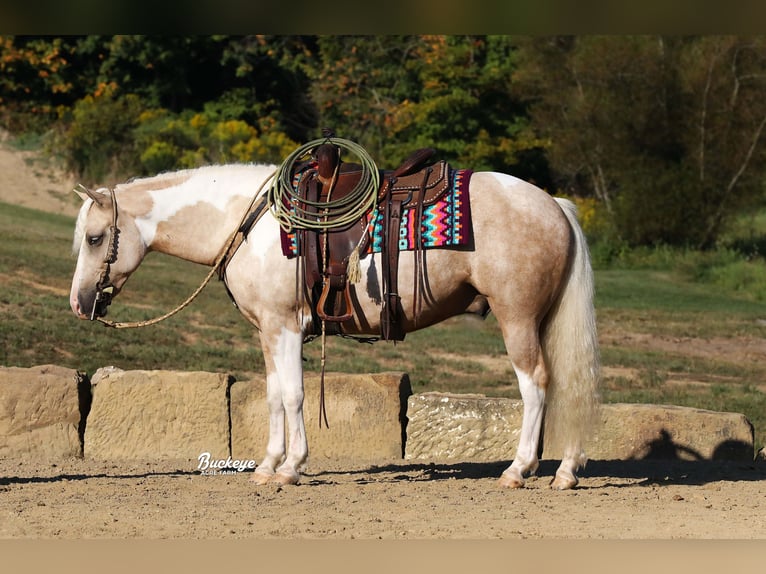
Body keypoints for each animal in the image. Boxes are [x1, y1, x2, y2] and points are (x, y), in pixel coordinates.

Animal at [69, 161, 604, 490]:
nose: (78, 303)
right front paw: (267, 465)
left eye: (95, 238)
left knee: (536, 385)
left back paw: (519, 469)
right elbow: (272, 396)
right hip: (543, 320)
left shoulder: (285, 327)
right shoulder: (266, 331)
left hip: (518, 318)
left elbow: (293, 395)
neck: (252, 224)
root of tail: (554, 204)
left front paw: (291, 468)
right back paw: (566, 471)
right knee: (568, 385)